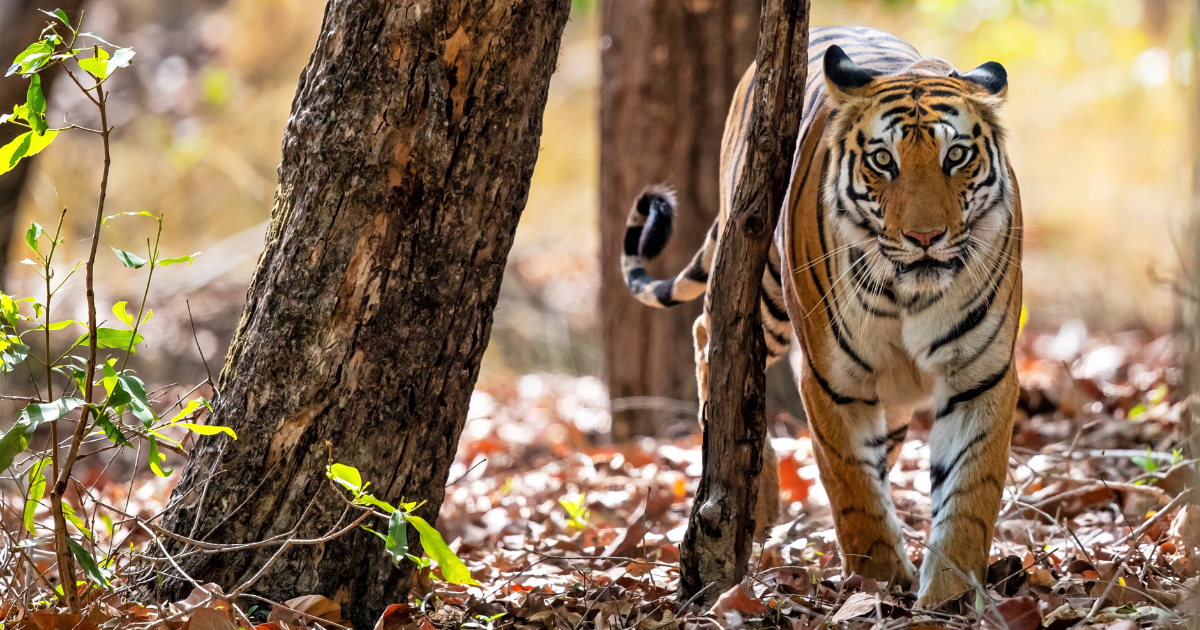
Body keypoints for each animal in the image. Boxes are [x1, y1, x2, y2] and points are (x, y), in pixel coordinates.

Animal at [619, 26, 1021, 607]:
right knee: (709, 339)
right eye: (883, 160)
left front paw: (950, 596)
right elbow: (853, 489)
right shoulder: (833, 381)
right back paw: (757, 503)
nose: (924, 238)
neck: (910, 297)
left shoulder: (980, 376)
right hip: (761, 289)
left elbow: (969, 494)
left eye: (958, 155)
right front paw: (879, 584)